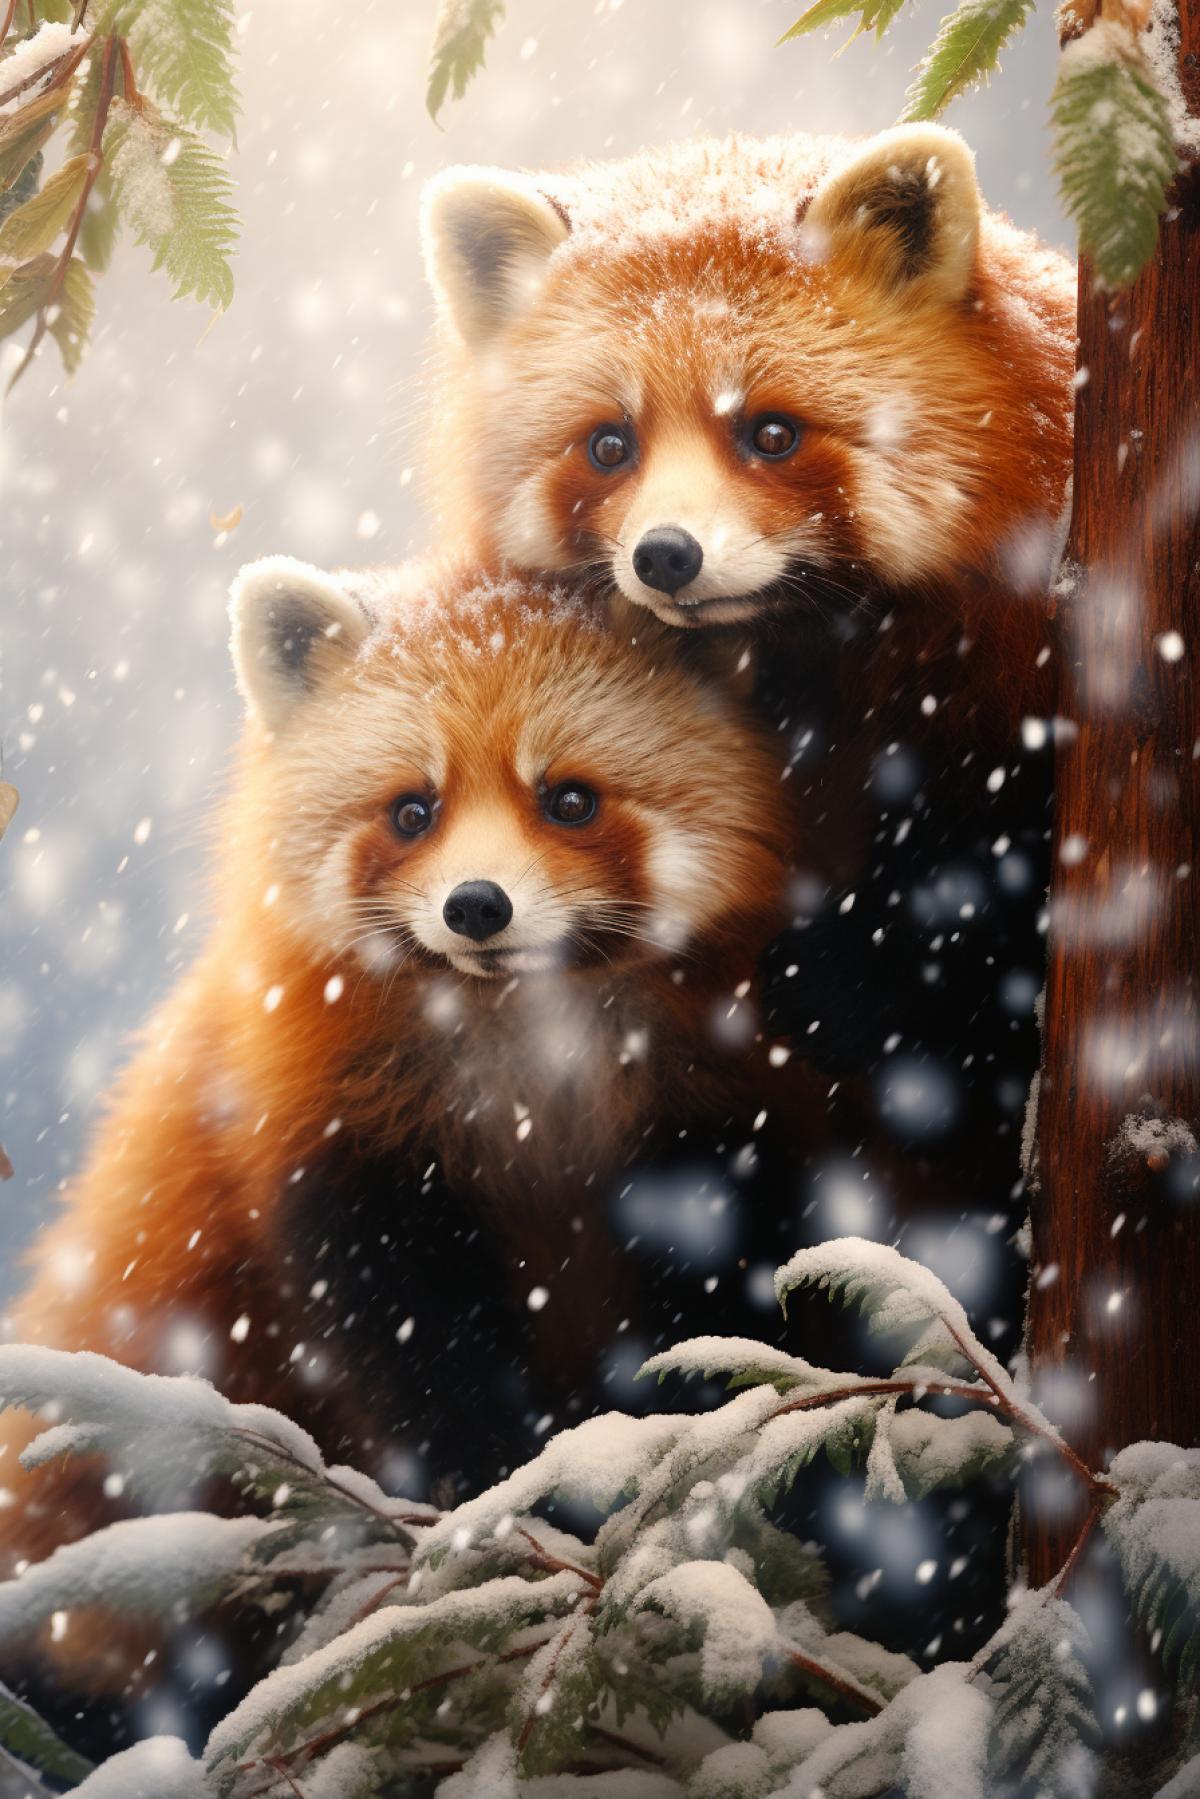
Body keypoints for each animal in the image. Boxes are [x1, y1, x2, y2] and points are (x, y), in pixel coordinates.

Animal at [0, 557, 820, 1673]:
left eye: (568, 799)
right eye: (413, 810)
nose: (477, 904)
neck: (525, 1041)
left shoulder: (704, 1123)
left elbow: (714, 1302)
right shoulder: (343, 1145)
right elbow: (410, 1345)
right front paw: (492, 1504)